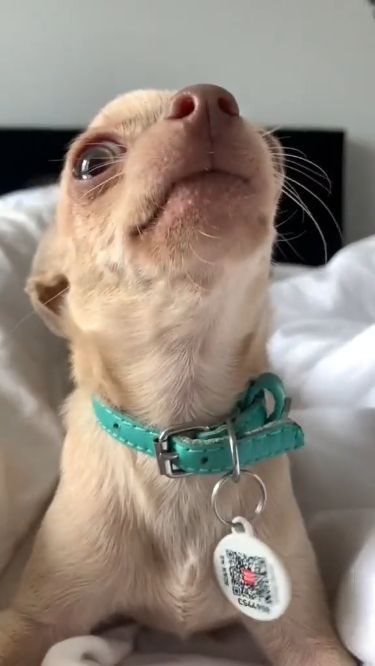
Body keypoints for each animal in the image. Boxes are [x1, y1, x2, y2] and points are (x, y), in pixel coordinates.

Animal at [0, 85, 356, 660]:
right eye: (89, 164)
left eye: (271, 147)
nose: (209, 99)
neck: (185, 429)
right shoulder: (29, 620)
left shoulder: (310, 638)